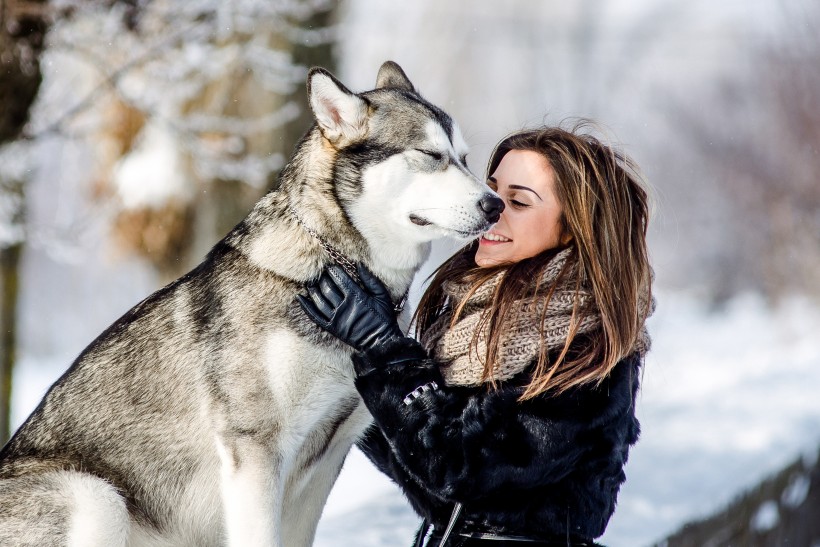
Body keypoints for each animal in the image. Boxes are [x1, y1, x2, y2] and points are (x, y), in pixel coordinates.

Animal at [0, 62, 502, 544]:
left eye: (464, 159)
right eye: (431, 156)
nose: (495, 204)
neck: (333, 267)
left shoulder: (327, 459)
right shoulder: (255, 449)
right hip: (96, 499)